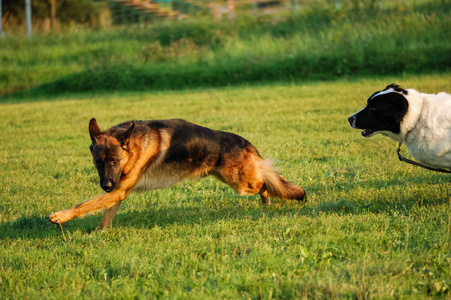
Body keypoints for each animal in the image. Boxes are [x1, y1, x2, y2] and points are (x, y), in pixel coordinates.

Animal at [46, 118, 308, 229]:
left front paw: (61, 216)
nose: (106, 185)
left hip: (242, 183)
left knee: (266, 182)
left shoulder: (118, 189)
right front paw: (101, 232)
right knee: (268, 179)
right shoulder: (118, 192)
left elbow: (84, 204)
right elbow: (106, 213)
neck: (134, 146)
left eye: (114, 161)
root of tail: (244, 141)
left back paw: (268, 199)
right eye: (97, 163)